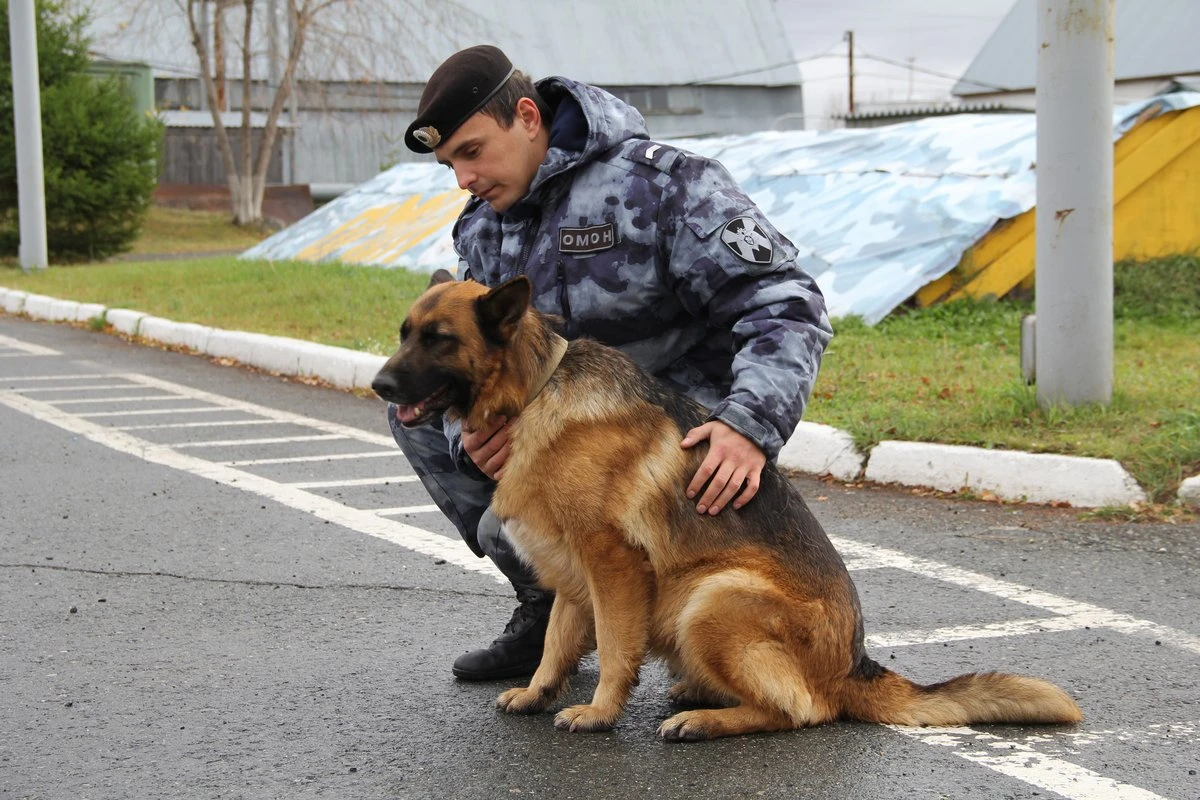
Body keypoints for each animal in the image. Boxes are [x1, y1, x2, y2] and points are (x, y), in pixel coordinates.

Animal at [369, 272, 1084, 743]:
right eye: (404, 333)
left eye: (437, 339)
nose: (378, 385)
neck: (538, 391)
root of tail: (852, 664)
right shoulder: (572, 573)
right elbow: (556, 643)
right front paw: (539, 692)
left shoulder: (612, 564)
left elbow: (617, 648)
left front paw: (600, 712)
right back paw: (696, 692)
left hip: (712, 597)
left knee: (801, 712)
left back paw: (703, 719)